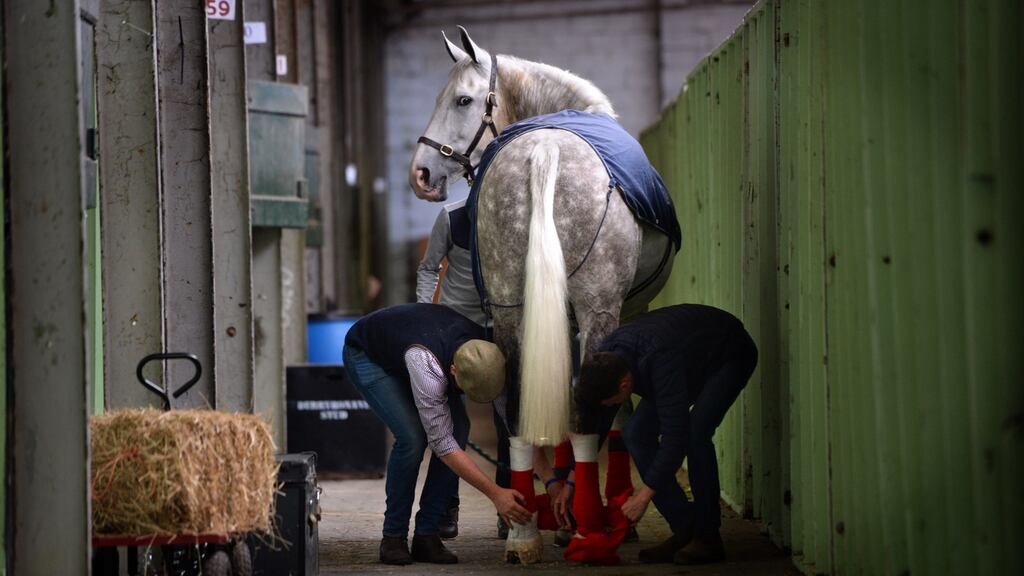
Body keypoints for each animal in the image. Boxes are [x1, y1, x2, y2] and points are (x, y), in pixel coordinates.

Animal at [409, 27, 677, 562]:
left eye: (462, 99)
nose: (421, 174)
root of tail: (544, 152)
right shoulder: (621, 310)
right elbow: (609, 411)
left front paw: (552, 513)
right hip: (597, 311)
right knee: (589, 412)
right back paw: (594, 533)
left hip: (512, 308)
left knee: (517, 406)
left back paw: (523, 533)